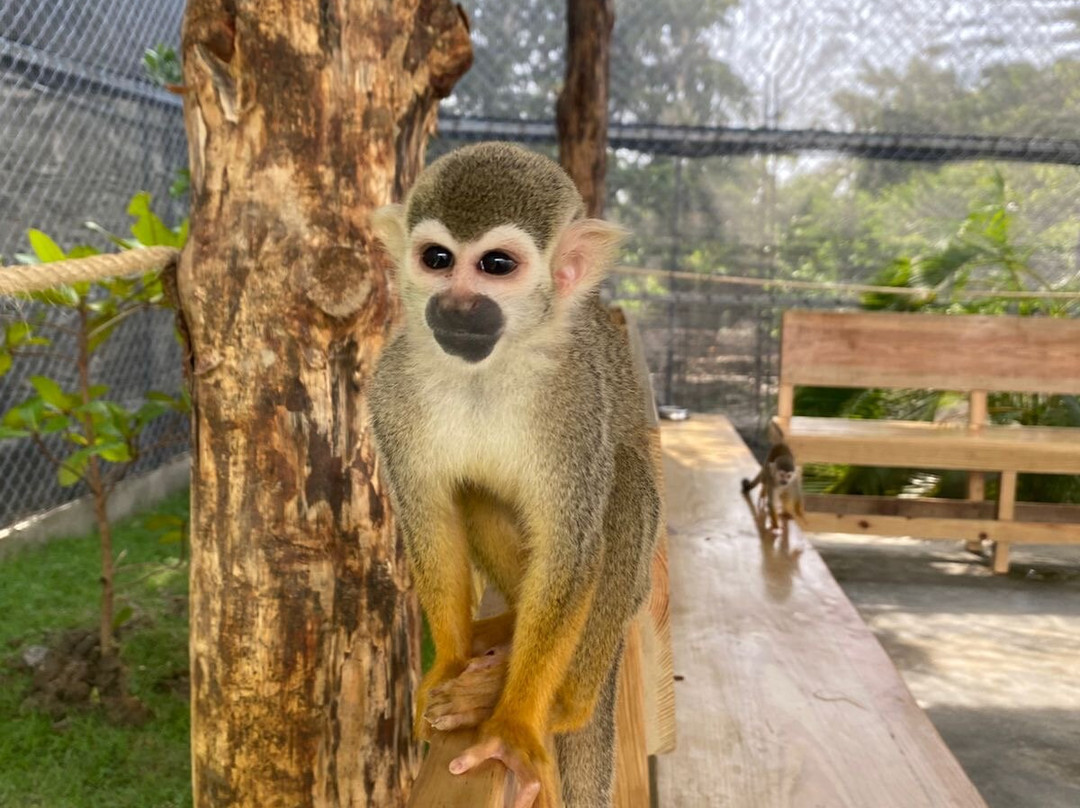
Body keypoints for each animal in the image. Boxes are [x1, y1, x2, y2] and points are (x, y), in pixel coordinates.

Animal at [367, 142, 661, 808]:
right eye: (437, 259)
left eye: (496, 265)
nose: (455, 304)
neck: (488, 368)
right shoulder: (391, 387)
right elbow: (431, 522)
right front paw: (449, 669)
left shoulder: (577, 398)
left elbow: (570, 548)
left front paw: (513, 725)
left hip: (632, 597)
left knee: (626, 485)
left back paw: (565, 700)